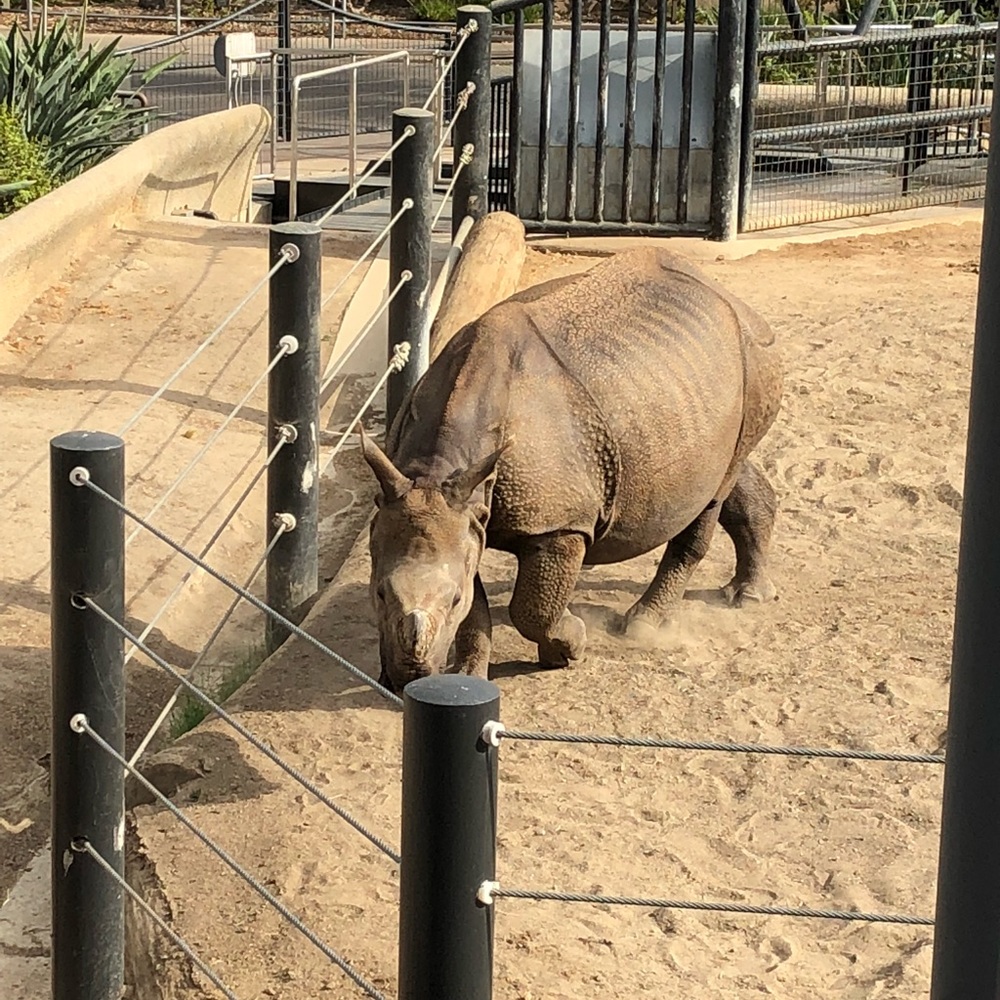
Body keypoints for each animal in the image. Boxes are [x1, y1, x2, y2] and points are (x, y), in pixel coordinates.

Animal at [360, 246, 783, 693]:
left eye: (451, 599)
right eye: (379, 593)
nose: (408, 677)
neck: (439, 470)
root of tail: (733, 299)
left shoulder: (557, 523)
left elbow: (532, 608)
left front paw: (568, 649)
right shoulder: (463, 508)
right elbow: (477, 610)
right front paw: (467, 678)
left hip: (751, 358)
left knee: (711, 497)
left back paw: (643, 626)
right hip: (695, 390)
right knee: (728, 469)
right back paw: (748, 595)